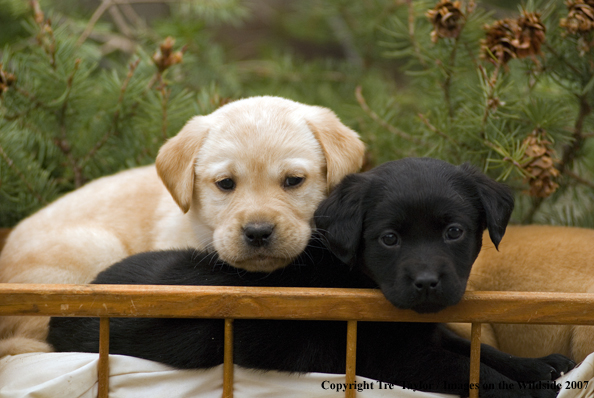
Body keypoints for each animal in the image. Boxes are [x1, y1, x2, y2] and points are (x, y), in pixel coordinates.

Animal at [46, 159, 568, 398]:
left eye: (454, 232)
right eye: (389, 238)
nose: (425, 283)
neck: (356, 276)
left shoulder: (428, 328)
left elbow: (481, 350)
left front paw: (541, 365)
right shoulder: (393, 357)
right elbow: (469, 369)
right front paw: (530, 386)